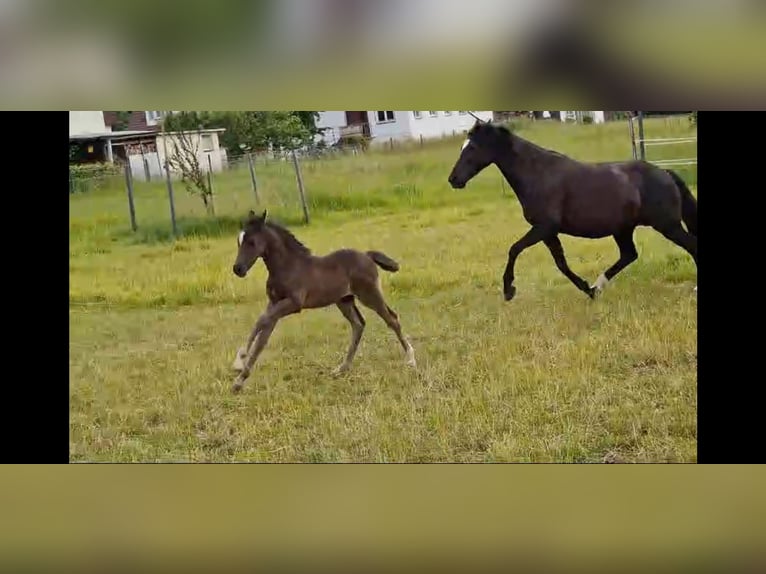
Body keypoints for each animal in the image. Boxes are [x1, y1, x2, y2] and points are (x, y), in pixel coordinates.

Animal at [230, 212, 416, 396]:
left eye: (252, 242)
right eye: (239, 241)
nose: (238, 269)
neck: (288, 266)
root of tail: (367, 255)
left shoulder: (294, 304)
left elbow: (261, 321)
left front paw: (239, 361)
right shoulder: (274, 303)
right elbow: (262, 337)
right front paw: (239, 380)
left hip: (369, 295)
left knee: (391, 319)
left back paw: (411, 360)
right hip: (344, 301)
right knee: (358, 324)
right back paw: (342, 368)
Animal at [448, 113, 700, 302]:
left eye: (472, 148)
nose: (453, 179)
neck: (538, 174)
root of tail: (665, 173)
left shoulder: (543, 227)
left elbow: (515, 249)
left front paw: (508, 290)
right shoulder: (548, 232)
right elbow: (561, 264)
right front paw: (587, 289)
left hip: (667, 225)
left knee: (691, 246)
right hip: (623, 229)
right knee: (629, 255)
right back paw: (598, 287)